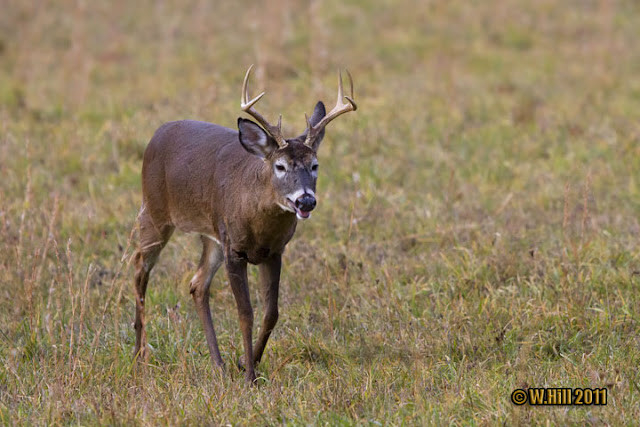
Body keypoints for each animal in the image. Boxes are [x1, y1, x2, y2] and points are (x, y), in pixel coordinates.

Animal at [133, 66, 358, 384]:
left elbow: (271, 313)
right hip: (155, 211)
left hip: (212, 235)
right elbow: (245, 313)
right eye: (280, 166)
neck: (258, 221)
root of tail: (157, 133)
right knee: (140, 270)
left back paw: (218, 364)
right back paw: (139, 353)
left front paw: (245, 362)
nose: (305, 201)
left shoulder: (273, 252)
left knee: (197, 284)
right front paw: (250, 375)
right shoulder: (235, 250)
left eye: (314, 165)